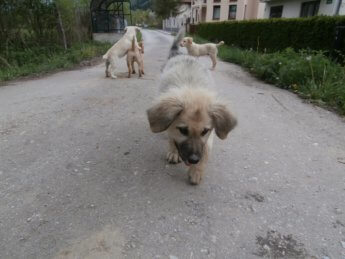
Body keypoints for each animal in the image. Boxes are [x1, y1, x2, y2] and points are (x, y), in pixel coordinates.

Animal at [145, 29, 236, 186]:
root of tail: (179, 54)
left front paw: (196, 171)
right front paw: (173, 152)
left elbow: (206, 150)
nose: (194, 160)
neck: (192, 89)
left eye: (205, 131)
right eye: (183, 130)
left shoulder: (209, 137)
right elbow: (172, 137)